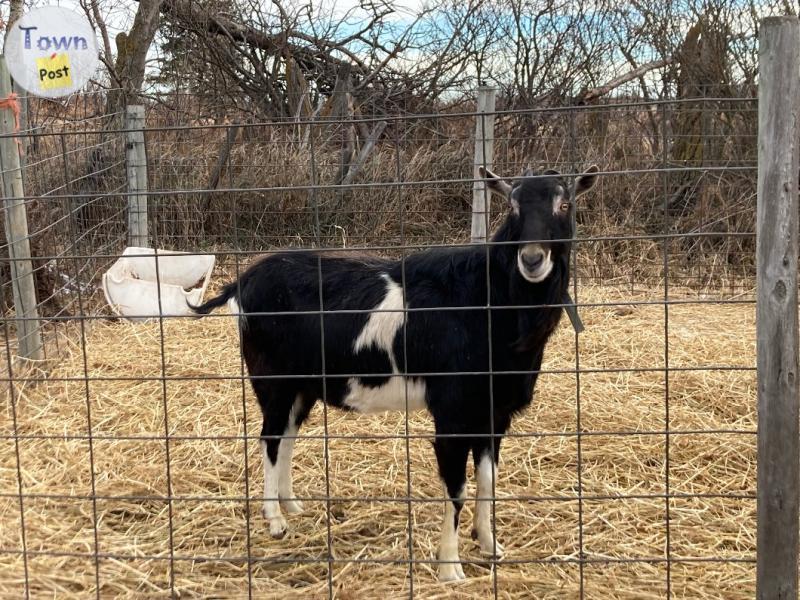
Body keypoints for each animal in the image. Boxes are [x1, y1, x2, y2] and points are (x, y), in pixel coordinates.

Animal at [191, 165, 596, 580]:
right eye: (512, 207)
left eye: (565, 204)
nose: (531, 259)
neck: (487, 300)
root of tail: (241, 282)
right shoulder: (452, 413)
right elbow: (457, 488)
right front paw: (450, 568)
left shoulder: (494, 412)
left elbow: (488, 480)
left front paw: (489, 545)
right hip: (274, 380)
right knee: (270, 438)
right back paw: (274, 520)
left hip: (304, 387)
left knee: (286, 435)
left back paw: (292, 506)